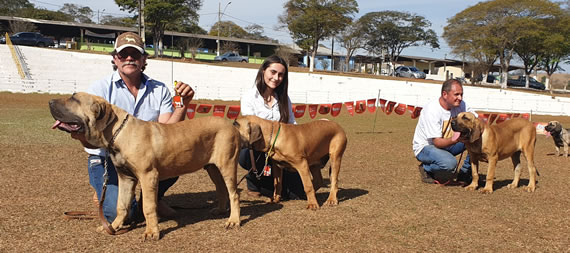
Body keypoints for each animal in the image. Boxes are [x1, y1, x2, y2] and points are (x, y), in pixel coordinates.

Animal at [49, 92, 242, 239]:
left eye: (74, 99)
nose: (50, 102)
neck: (119, 132)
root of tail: (232, 126)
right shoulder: (125, 177)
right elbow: (121, 205)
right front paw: (113, 226)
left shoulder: (148, 176)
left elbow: (148, 206)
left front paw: (151, 232)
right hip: (212, 168)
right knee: (222, 189)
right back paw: (220, 210)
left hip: (227, 165)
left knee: (234, 194)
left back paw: (233, 220)